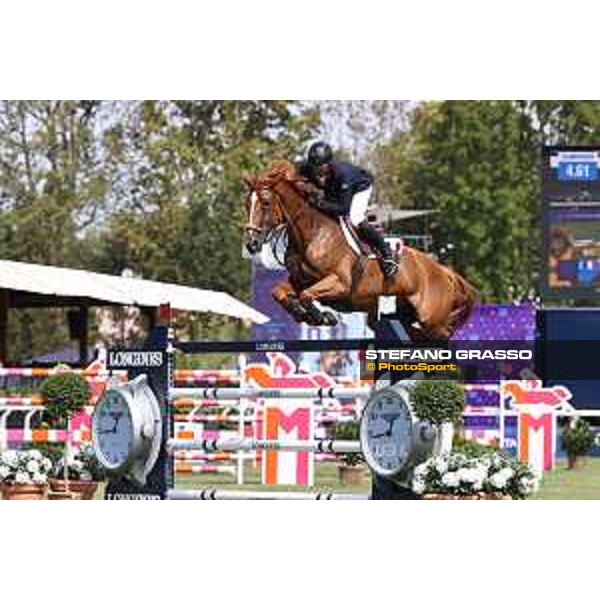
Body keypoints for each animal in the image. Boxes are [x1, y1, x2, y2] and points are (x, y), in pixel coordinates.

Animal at [244, 162, 478, 340]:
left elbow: (307, 295)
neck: (312, 235)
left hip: (431, 320)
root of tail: (443, 271)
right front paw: (306, 315)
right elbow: (280, 293)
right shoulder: (300, 280)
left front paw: (323, 317)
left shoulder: (340, 283)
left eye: (266, 202)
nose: (251, 244)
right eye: (247, 205)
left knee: (445, 333)